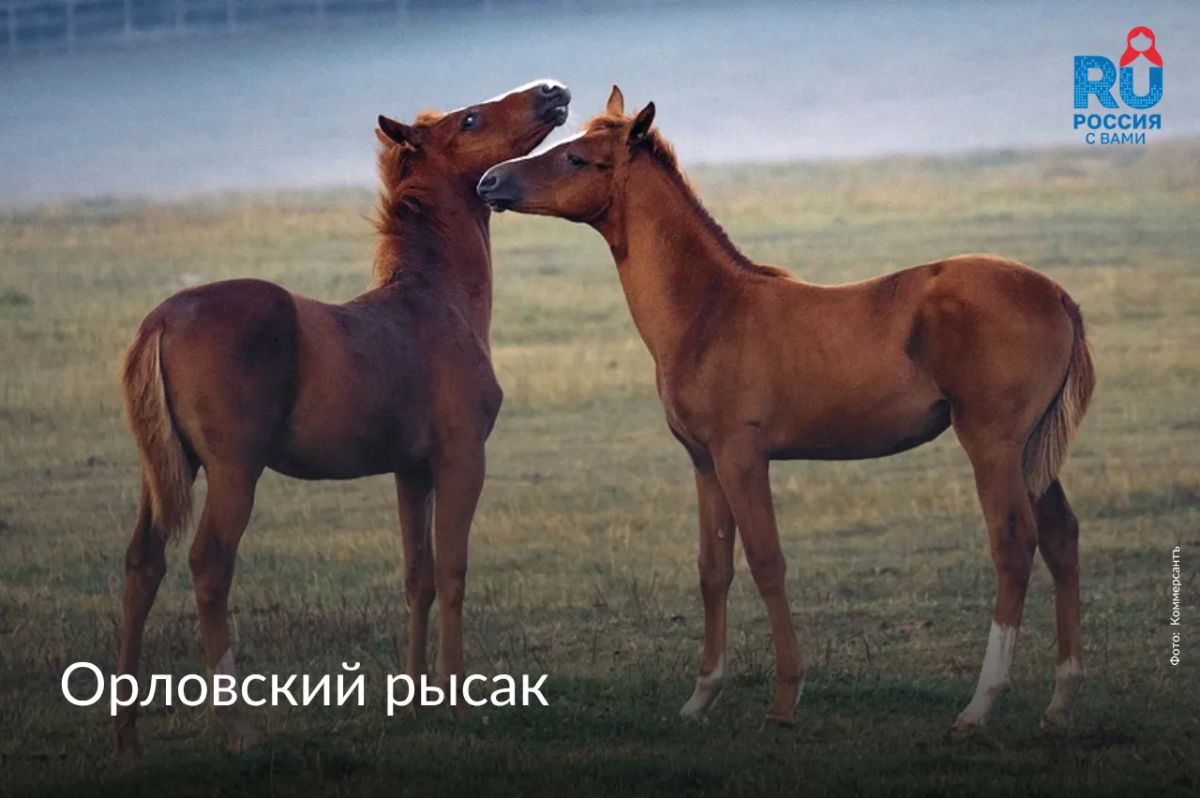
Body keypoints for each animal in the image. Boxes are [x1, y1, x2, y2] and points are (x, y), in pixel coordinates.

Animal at [115, 79, 571, 755]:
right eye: (470, 119)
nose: (552, 90)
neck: (436, 304)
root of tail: (162, 319)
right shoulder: (462, 458)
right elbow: (455, 571)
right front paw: (460, 704)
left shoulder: (412, 471)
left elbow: (418, 576)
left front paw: (416, 701)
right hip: (233, 471)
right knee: (209, 564)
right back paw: (237, 726)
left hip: (166, 470)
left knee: (143, 563)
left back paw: (127, 737)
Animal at [477, 86, 1095, 731]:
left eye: (577, 158)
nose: (490, 182)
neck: (711, 312)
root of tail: (1057, 295)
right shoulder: (705, 464)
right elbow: (713, 569)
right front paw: (701, 695)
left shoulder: (743, 457)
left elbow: (767, 562)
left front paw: (783, 699)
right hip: (1030, 453)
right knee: (1061, 537)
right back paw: (1060, 699)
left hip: (992, 444)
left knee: (1013, 544)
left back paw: (980, 704)